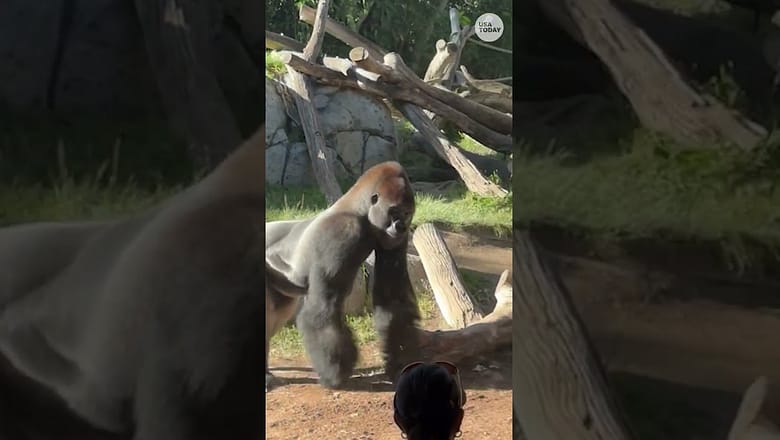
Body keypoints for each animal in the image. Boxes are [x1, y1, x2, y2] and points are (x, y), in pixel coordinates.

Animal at [265, 161, 422, 391]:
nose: (401, 226)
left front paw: (401, 359)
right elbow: (322, 308)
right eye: (394, 211)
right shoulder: (342, 232)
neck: (358, 210)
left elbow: (393, 299)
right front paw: (335, 375)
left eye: (407, 212)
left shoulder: (394, 239)